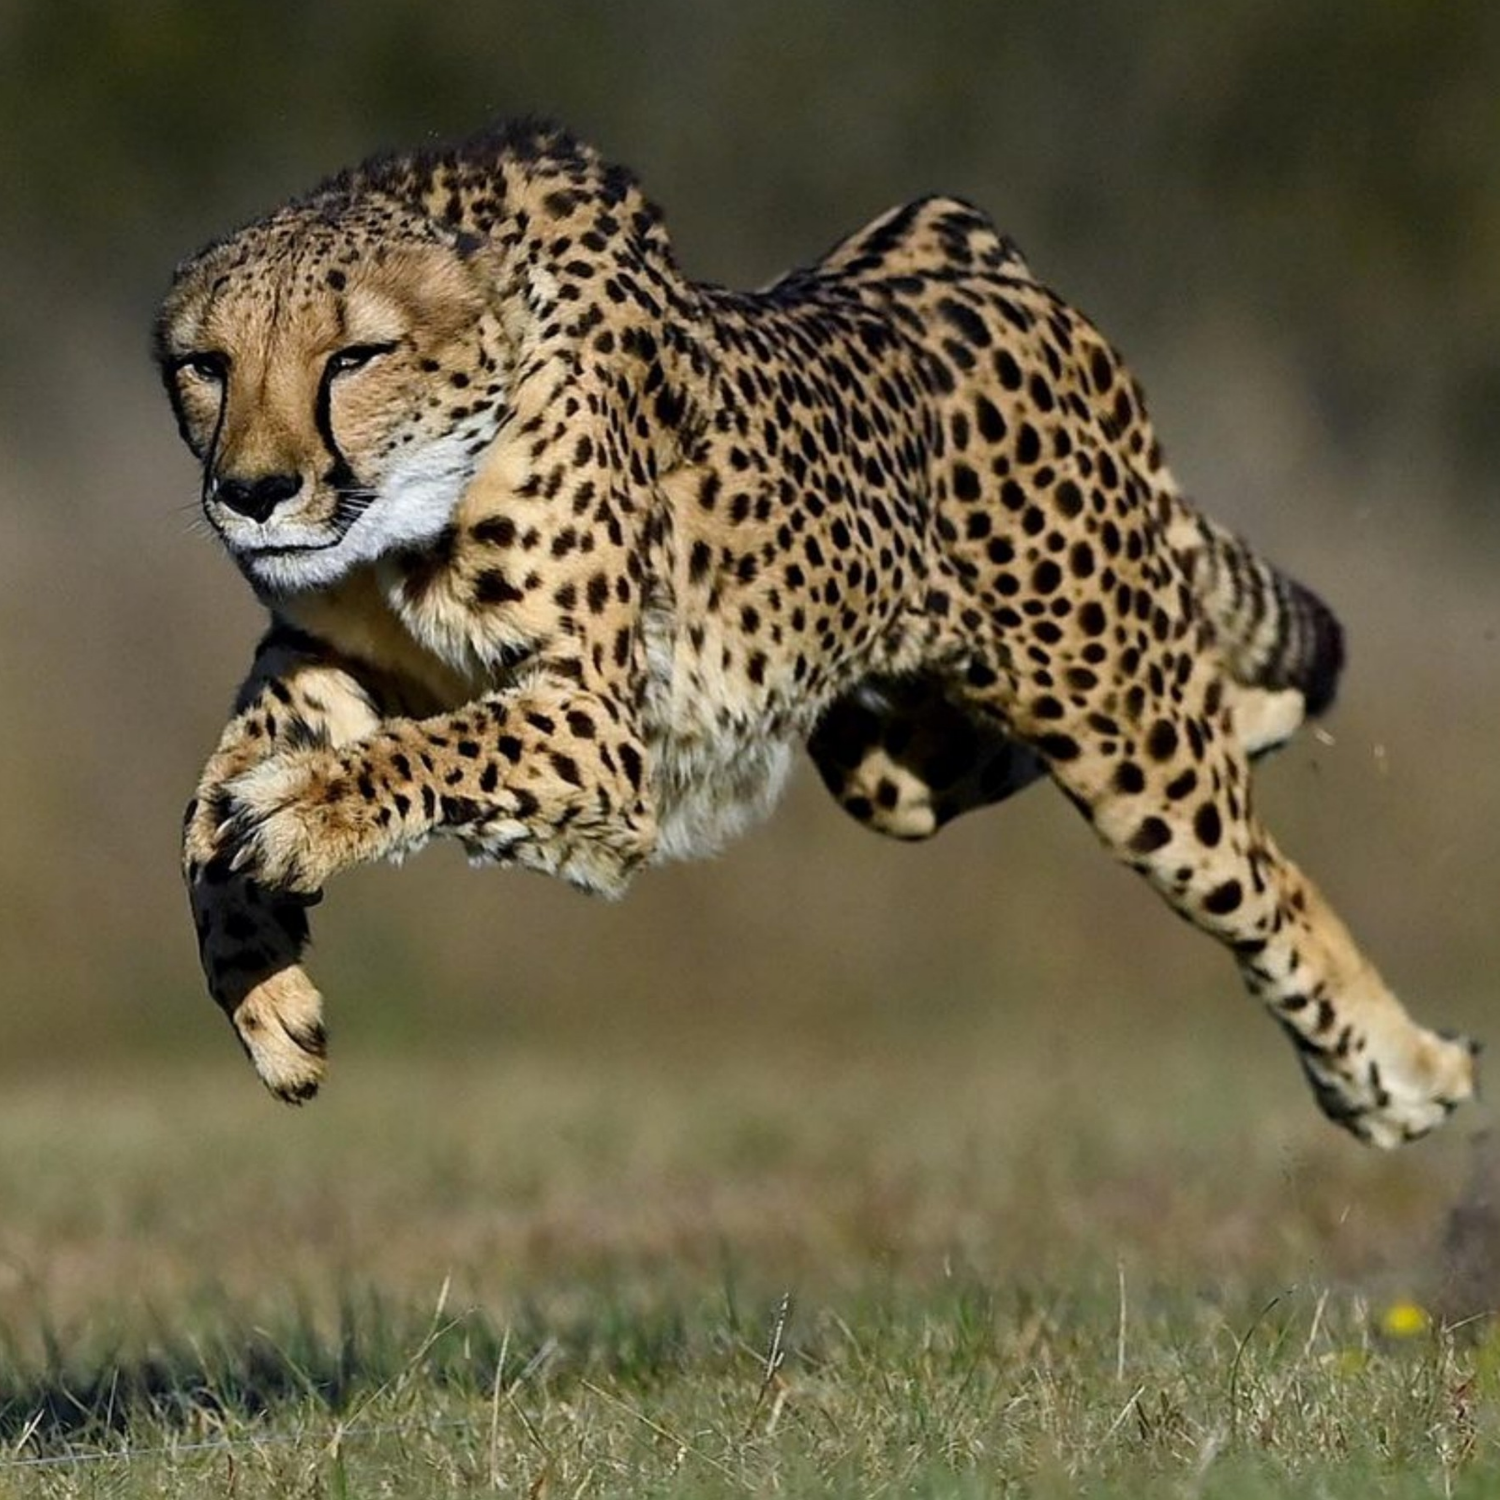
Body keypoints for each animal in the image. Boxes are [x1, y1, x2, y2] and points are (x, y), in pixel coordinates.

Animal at [156, 119, 1477, 1147]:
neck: (404, 513)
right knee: (1003, 757)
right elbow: (203, 809)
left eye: (355, 355)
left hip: (1120, 727)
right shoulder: (319, 656)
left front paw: (303, 816)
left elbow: (418, 756)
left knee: (1267, 882)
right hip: (886, 754)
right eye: (206, 365)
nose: (254, 493)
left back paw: (1403, 1076)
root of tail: (966, 246)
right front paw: (261, 985)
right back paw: (1264, 717)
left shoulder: (600, 728)